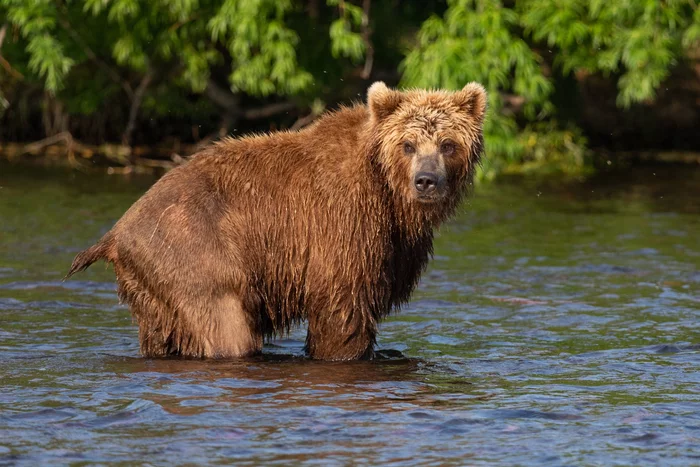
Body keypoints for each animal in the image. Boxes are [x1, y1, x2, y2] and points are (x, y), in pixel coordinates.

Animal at [65, 81, 486, 362]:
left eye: (448, 144)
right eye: (408, 144)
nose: (426, 180)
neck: (391, 195)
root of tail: (116, 232)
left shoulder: (397, 244)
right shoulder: (343, 222)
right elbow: (343, 305)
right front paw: (345, 352)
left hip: (150, 287)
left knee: (160, 333)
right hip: (191, 250)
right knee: (226, 326)